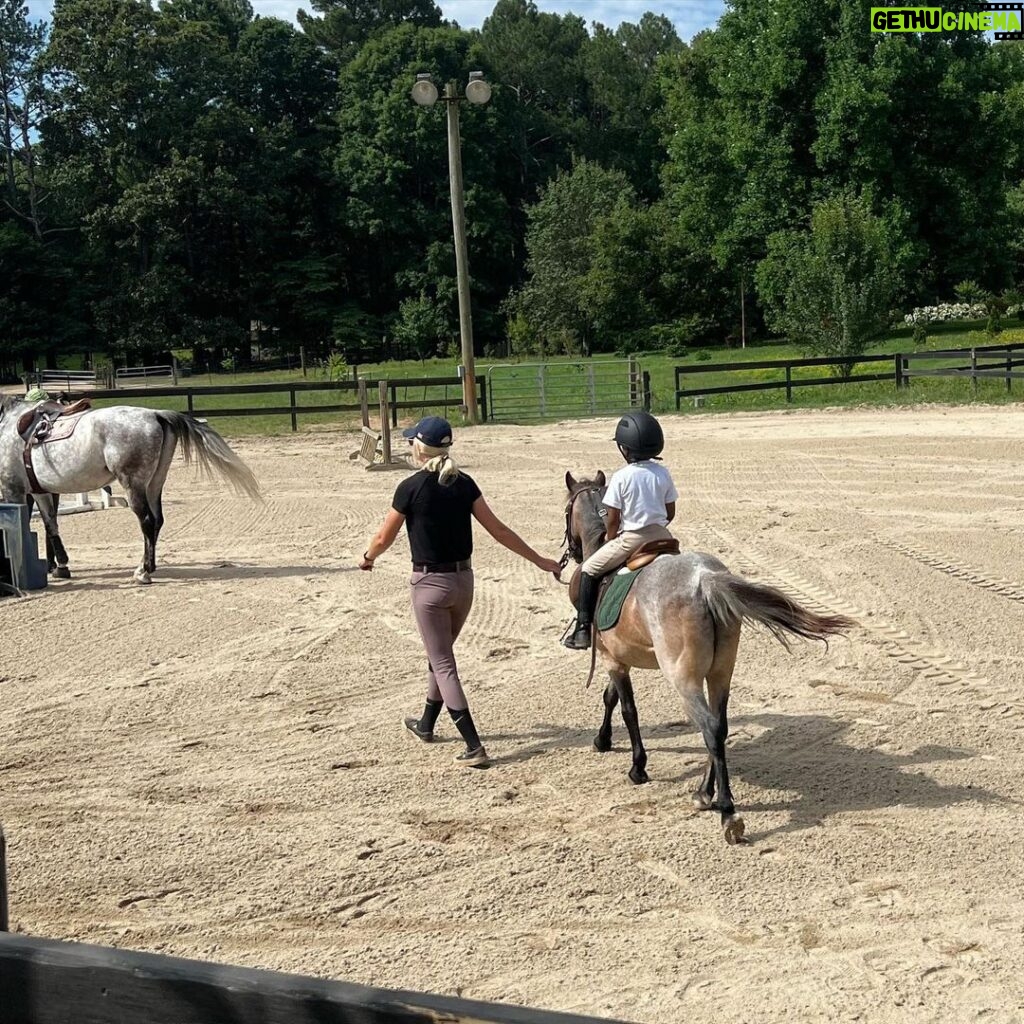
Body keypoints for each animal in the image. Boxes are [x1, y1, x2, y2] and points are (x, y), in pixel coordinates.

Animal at [0, 403, 262, 589]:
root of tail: (156, 414)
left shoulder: (14, 491)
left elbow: (24, 528)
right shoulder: (40, 491)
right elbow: (50, 524)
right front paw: (61, 567)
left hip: (134, 485)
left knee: (146, 521)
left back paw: (143, 572)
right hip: (154, 484)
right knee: (157, 521)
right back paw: (149, 566)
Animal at [565, 475, 851, 843]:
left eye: (566, 510)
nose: (571, 552)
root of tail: (705, 580)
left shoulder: (611, 659)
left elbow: (626, 709)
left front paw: (636, 767)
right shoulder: (619, 657)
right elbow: (611, 698)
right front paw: (603, 740)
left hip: (683, 679)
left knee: (710, 728)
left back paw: (728, 812)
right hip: (720, 673)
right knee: (719, 726)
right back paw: (705, 793)